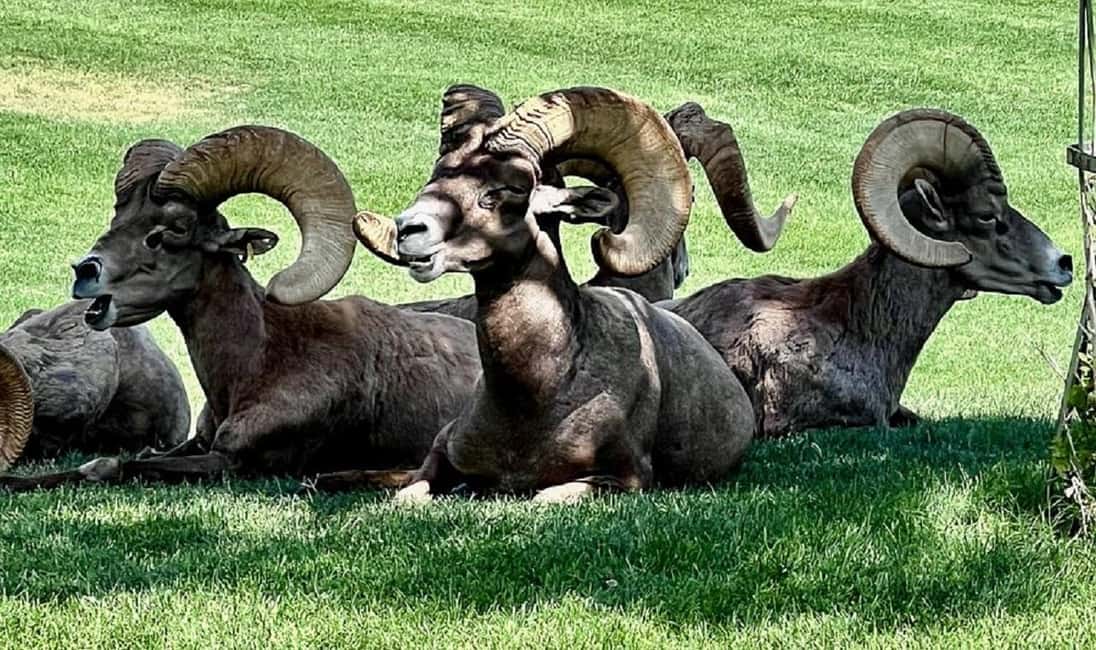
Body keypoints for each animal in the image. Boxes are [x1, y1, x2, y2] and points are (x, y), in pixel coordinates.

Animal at [0, 126, 481, 492]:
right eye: (118, 217)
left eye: (171, 231)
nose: (85, 272)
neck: (258, 362)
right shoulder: (196, 442)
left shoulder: (232, 462)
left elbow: (114, 465)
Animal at [355, 86, 756, 503]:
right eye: (437, 174)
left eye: (512, 187)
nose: (408, 230)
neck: (534, 399)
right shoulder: (443, 448)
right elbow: (408, 496)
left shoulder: (623, 479)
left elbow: (544, 496)